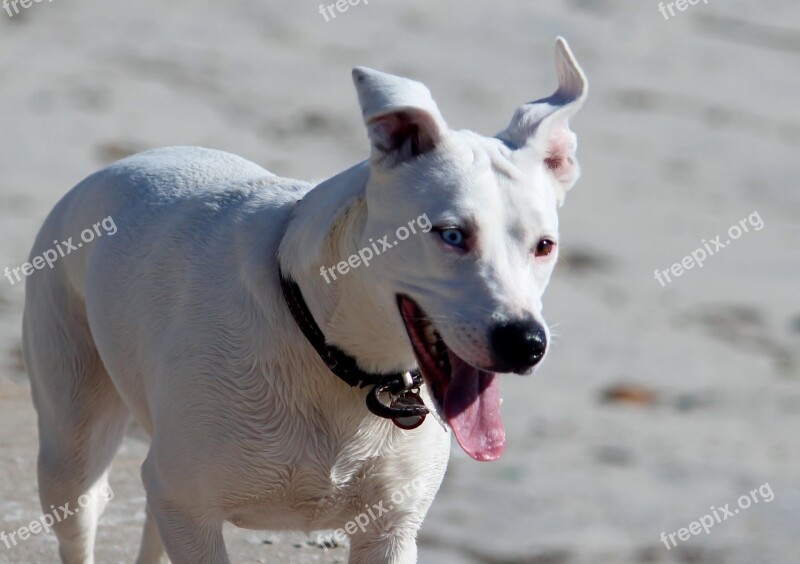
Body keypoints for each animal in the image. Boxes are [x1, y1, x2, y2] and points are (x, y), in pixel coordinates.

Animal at [23, 37, 588, 560]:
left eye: (545, 246)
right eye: (451, 235)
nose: (525, 343)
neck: (329, 351)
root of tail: (115, 166)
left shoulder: (390, 531)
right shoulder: (188, 508)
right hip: (71, 443)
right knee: (81, 501)